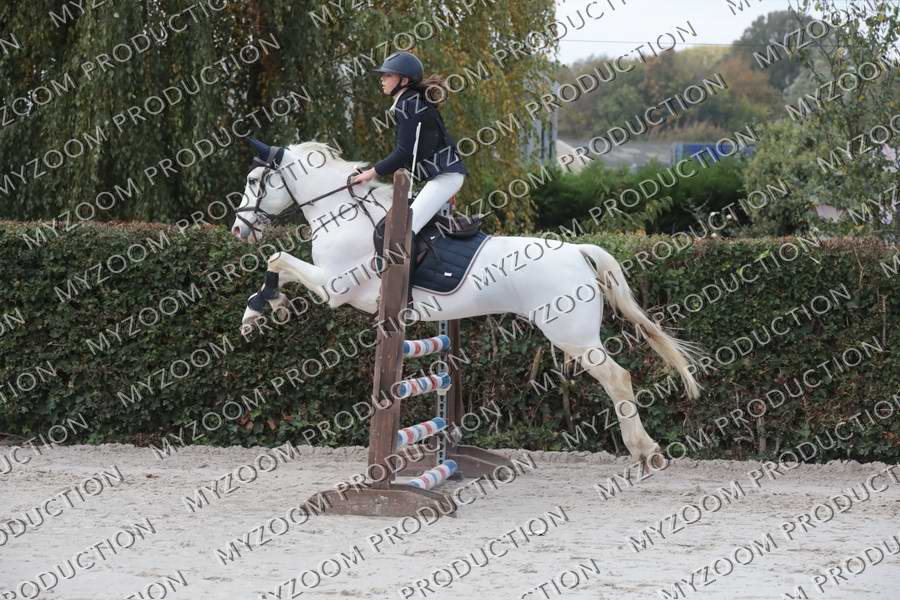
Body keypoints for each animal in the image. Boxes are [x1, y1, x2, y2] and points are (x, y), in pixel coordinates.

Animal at [230, 139, 704, 468]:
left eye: (254, 182)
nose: (238, 230)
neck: (342, 214)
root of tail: (577, 251)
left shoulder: (334, 287)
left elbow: (277, 259)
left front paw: (258, 310)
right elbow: (279, 262)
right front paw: (271, 307)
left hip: (572, 336)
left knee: (618, 378)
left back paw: (644, 450)